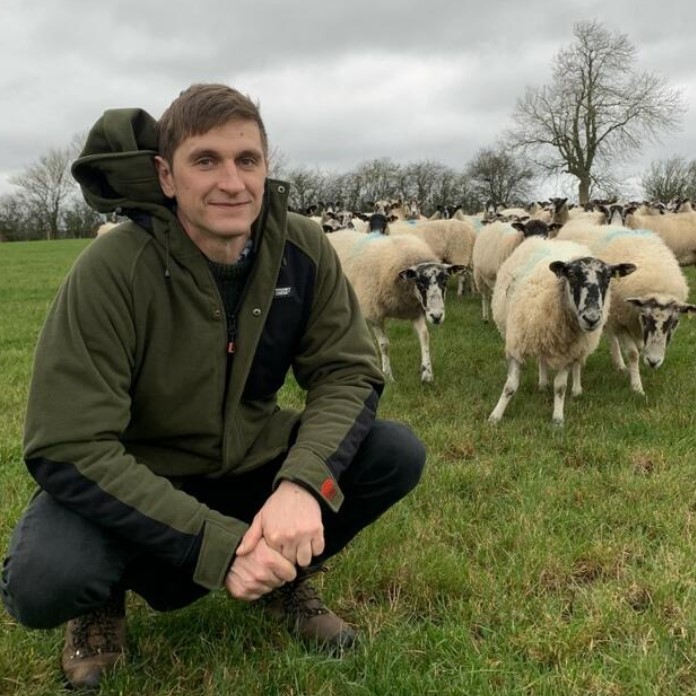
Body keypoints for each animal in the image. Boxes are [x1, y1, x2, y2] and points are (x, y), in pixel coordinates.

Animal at [328, 230, 464, 384]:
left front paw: (427, 374)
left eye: (445, 282)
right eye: (420, 283)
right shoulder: (373, 312)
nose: (436, 316)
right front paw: (388, 376)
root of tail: (335, 233)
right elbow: (385, 345)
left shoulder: (414, 311)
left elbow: (424, 336)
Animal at [490, 238, 636, 424]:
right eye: (571, 275)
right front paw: (495, 415)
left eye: (608, 278)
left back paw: (576, 389)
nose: (591, 318)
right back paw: (543, 383)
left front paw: (558, 418)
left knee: (577, 364)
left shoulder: (567, 352)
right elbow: (510, 387)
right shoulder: (517, 344)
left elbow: (560, 387)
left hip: (579, 345)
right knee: (542, 360)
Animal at [556, 226, 696, 394]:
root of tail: (571, 225)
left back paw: (619, 364)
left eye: (675, 323)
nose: (653, 362)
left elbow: (640, 348)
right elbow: (633, 353)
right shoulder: (621, 322)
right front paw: (637, 387)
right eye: (645, 318)